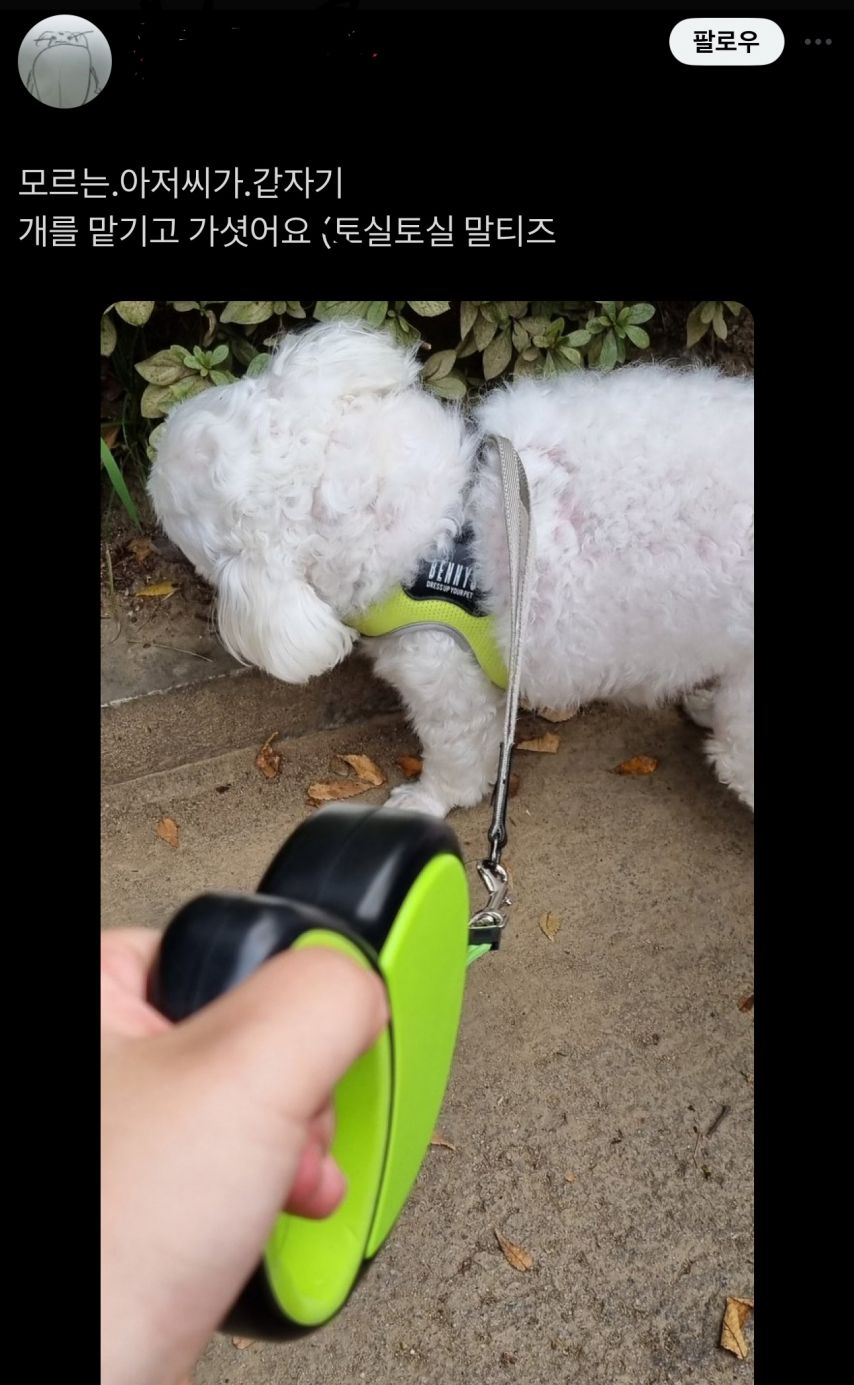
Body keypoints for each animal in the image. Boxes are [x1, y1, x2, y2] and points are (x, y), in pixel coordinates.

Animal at [148, 318, 752, 814]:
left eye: (166, 507)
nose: (150, 448)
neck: (436, 521)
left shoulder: (445, 677)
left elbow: (456, 760)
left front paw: (426, 801)